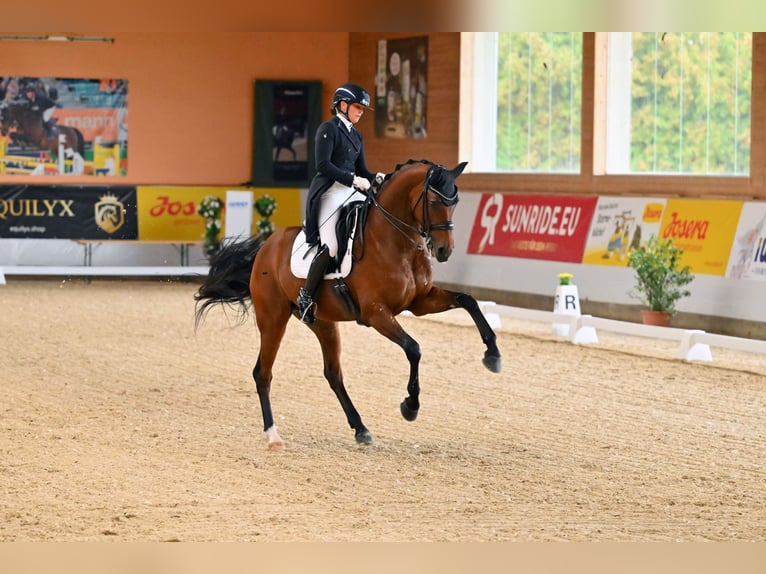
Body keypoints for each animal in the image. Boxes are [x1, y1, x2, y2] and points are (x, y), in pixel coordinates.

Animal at [195, 160, 500, 452]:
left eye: (456, 201)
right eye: (435, 202)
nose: (444, 250)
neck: (394, 241)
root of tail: (265, 247)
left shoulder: (420, 301)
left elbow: (468, 300)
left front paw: (493, 355)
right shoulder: (376, 313)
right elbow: (414, 349)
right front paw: (410, 406)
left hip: (323, 323)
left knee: (333, 374)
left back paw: (361, 429)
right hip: (273, 320)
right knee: (263, 373)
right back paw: (273, 436)